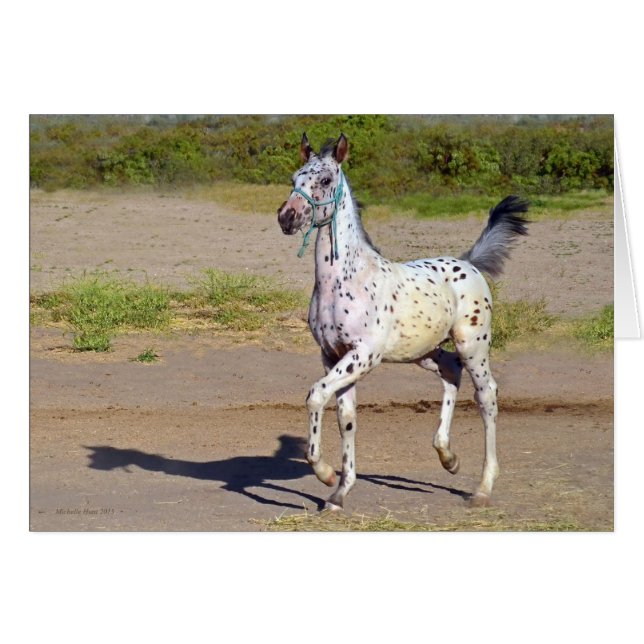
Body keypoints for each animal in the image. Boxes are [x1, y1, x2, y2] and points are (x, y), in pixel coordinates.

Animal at [277, 133, 529, 511]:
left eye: (325, 180)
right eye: (295, 178)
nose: (287, 217)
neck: (345, 280)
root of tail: (469, 263)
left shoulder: (363, 355)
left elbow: (316, 396)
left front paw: (326, 474)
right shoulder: (333, 355)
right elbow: (346, 418)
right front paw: (339, 493)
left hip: (473, 346)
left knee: (487, 396)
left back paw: (482, 488)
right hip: (424, 352)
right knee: (451, 372)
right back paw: (447, 457)